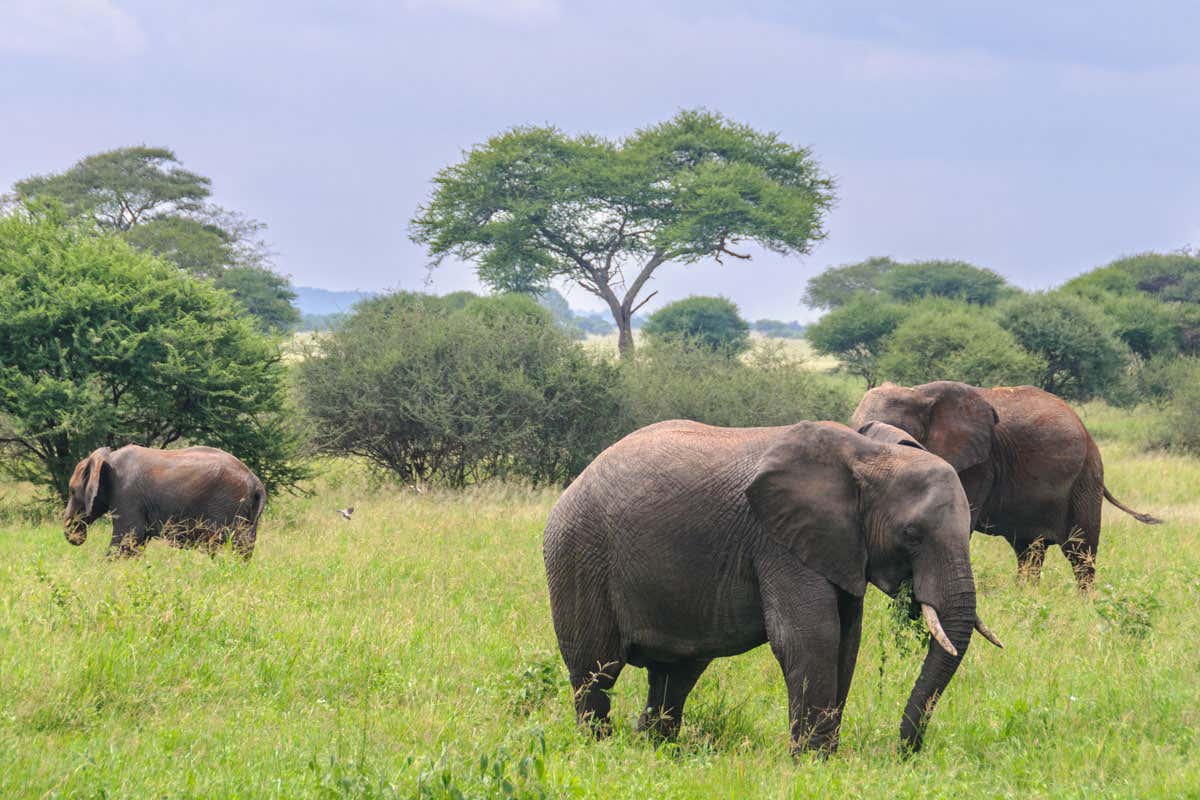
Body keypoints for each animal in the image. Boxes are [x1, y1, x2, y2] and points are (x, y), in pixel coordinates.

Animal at [63, 445, 266, 559]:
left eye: (72, 491)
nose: (77, 537)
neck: (107, 458)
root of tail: (257, 484)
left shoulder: (127, 494)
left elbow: (128, 537)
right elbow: (137, 542)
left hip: (229, 505)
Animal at [543, 419, 1002, 755]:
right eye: (911, 534)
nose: (903, 751)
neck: (867, 455)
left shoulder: (840, 547)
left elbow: (847, 640)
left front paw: (825, 758)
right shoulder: (779, 543)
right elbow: (811, 636)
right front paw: (813, 762)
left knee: (675, 677)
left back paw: (654, 751)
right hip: (578, 555)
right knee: (596, 671)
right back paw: (600, 750)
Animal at [852, 381, 1161, 589]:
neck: (916, 392)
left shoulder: (979, 466)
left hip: (1086, 479)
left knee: (1080, 553)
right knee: (1030, 552)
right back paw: (1026, 594)